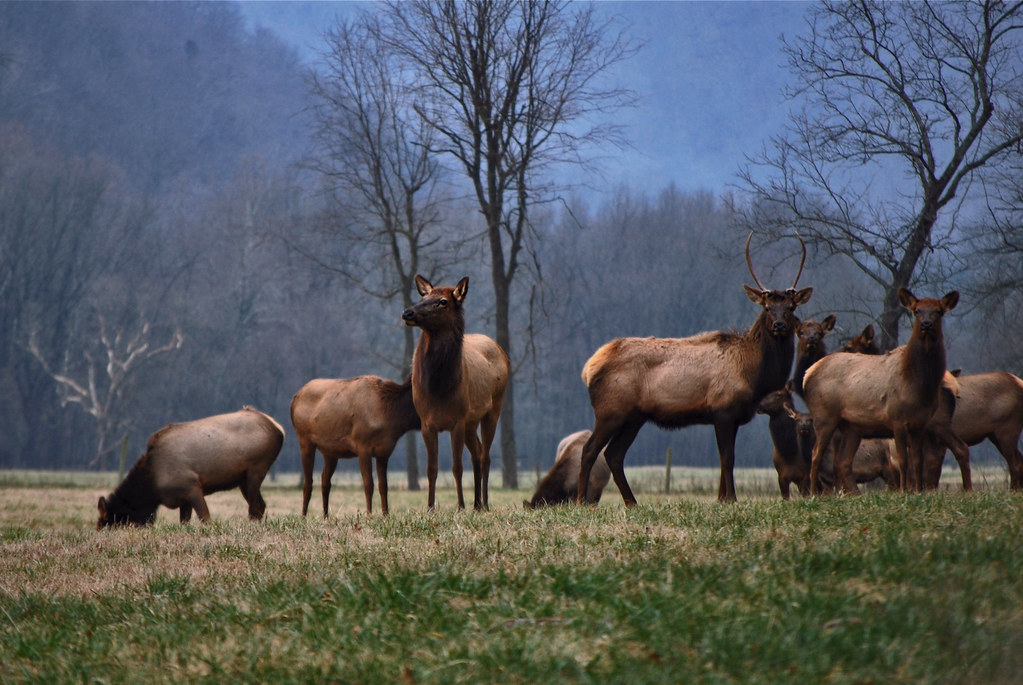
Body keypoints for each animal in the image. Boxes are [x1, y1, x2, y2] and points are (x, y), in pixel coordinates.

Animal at [291, 375, 421, 517]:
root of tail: (294, 400)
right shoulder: (363, 445)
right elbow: (369, 484)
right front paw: (369, 514)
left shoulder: (384, 452)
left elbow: (383, 485)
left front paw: (386, 514)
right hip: (304, 439)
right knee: (308, 483)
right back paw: (304, 516)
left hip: (330, 452)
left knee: (325, 482)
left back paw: (325, 516)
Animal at [401, 275, 509, 511]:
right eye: (423, 297)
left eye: (443, 301)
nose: (407, 312)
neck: (438, 387)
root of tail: (502, 351)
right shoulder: (426, 422)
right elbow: (431, 469)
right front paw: (430, 507)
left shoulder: (458, 419)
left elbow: (457, 466)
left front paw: (460, 506)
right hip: (471, 421)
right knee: (477, 453)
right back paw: (477, 503)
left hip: (494, 409)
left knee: (485, 456)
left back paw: (484, 503)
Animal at [577, 233, 812, 505]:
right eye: (766, 307)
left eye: (791, 307)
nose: (779, 325)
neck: (753, 376)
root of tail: (589, 368)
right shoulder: (723, 409)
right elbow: (727, 458)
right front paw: (732, 499)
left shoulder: (732, 417)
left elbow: (724, 460)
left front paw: (722, 499)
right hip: (610, 411)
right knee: (590, 450)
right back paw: (581, 501)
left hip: (634, 417)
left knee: (614, 454)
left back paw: (632, 503)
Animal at [803, 288, 960, 493]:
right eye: (917, 311)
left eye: (939, 311)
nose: (926, 324)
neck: (917, 384)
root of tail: (808, 374)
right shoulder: (897, 418)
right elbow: (903, 461)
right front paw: (904, 491)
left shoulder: (921, 423)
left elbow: (917, 461)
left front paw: (918, 491)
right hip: (824, 416)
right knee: (815, 454)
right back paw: (814, 493)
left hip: (852, 427)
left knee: (843, 460)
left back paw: (855, 494)